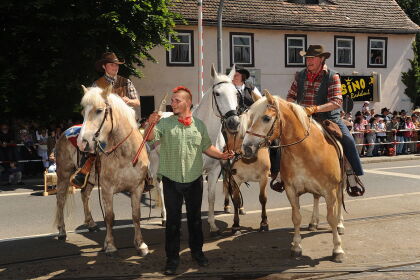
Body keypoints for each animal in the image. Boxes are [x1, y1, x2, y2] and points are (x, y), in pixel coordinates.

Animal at [54, 86, 149, 258]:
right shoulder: (107, 189)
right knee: (60, 200)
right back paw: (62, 231)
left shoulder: (137, 187)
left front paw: (140, 244)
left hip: (90, 179)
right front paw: (110, 245)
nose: (82, 142)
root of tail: (65, 132)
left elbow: (136, 215)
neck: (124, 153)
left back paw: (91, 224)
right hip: (63, 175)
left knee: (85, 195)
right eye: (83, 111)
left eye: (99, 110)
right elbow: (109, 217)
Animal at [240, 92, 344, 262]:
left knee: (340, 202)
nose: (247, 148)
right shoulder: (291, 190)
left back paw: (340, 225)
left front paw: (337, 249)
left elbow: (332, 218)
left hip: (340, 185)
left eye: (266, 118)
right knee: (316, 198)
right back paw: (313, 222)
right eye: (250, 118)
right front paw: (296, 246)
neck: (306, 152)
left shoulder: (330, 190)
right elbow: (296, 217)